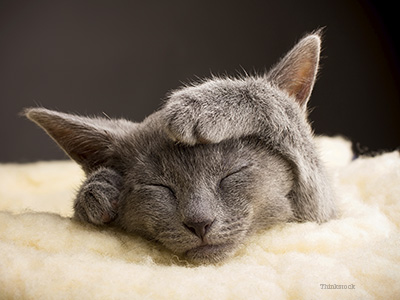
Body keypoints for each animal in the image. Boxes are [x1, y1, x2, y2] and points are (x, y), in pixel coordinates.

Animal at [25, 31, 336, 264]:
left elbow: (285, 114)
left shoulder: (319, 214)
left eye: (232, 174)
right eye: (159, 186)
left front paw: (204, 106)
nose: (200, 223)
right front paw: (97, 190)